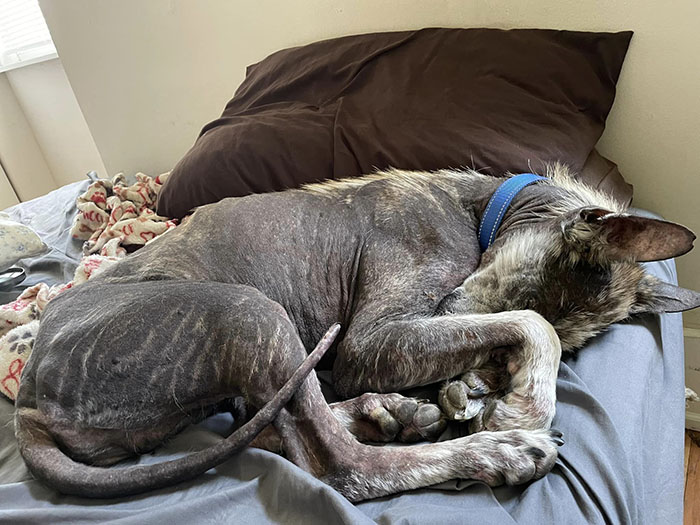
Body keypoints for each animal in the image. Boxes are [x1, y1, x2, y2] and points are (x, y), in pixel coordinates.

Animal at [12, 166, 700, 502]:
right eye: (535, 292)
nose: (480, 386)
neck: (479, 209)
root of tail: (28, 401)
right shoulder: (376, 340)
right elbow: (531, 328)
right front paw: (517, 411)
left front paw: (472, 395)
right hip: (248, 309)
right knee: (338, 465)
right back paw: (491, 451)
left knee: (263, 422)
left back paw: (393, 412)